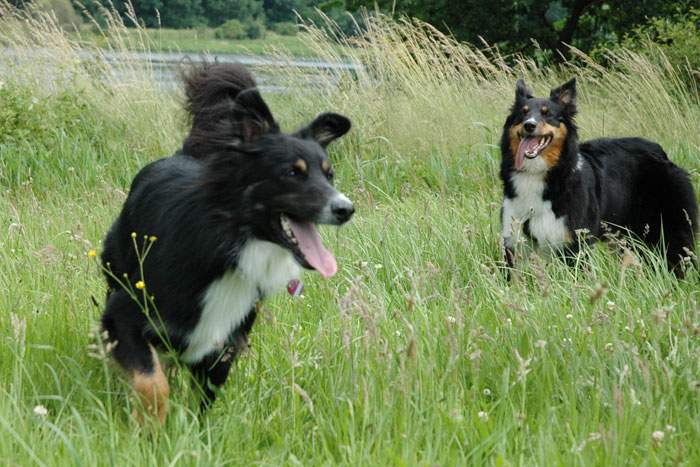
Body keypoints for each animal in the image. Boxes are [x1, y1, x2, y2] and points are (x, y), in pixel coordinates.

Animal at [101, 63, 352, 424]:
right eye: (292, 172)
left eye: (329, 175)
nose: (346, 209)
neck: (227, 243)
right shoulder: (125, 311)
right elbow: (152, 382)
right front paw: (149, 425)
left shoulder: (224, 339)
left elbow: (203, 400)